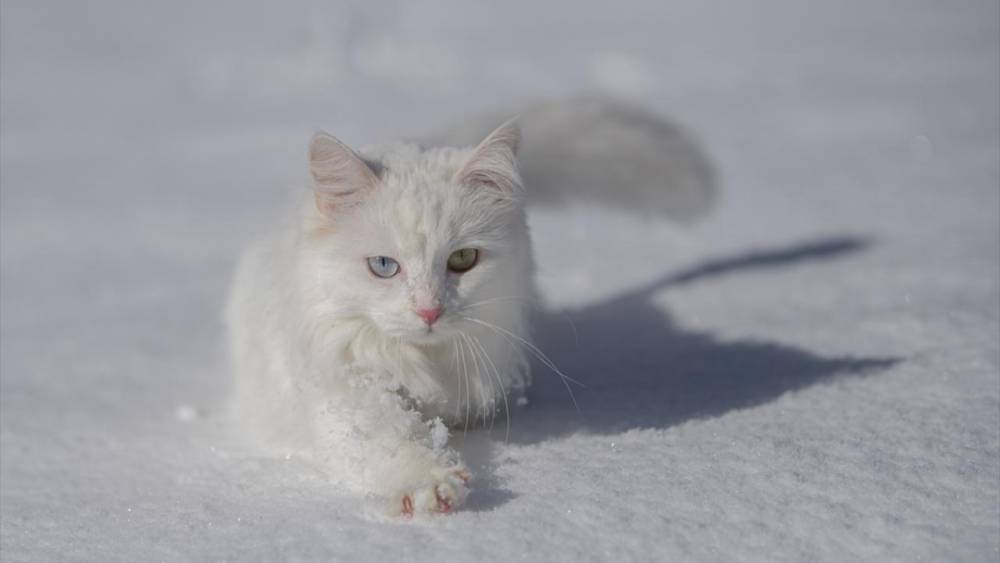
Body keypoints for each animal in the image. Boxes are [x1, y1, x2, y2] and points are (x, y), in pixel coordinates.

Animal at [226, 97, 716, 516]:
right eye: (383, 266)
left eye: (462, 259)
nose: (429, 311)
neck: (426, 365)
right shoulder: (341, 384)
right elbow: (386, 434)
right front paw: (427, 482)